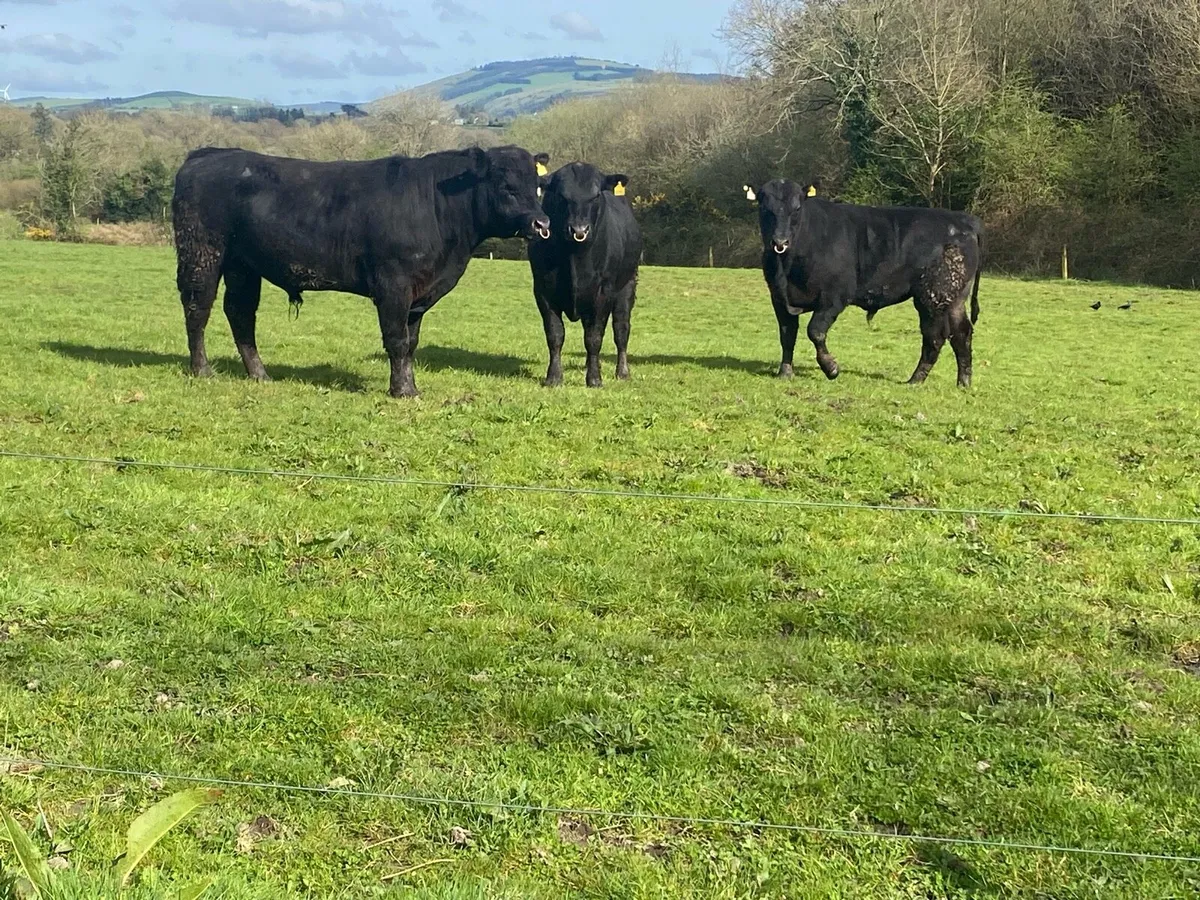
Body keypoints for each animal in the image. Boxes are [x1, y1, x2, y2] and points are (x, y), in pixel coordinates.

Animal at [172, 145, 552, 399]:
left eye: (536, 186)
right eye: (506, 186)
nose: (542, 223)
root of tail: (208, 154)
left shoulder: (419, 293)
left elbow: (411, 343)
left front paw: (410, 386)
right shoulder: (393, 285)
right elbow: (396, 340)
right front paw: (401, 391)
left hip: (243, 264)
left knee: (239, 313)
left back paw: (259, 374)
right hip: (203, 252)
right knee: (197, 309)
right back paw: (202, 370)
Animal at [528, 162, 643, 388]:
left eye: (596, 195)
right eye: (561, 195)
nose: (579, 230)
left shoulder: (604, 291)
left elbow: (594, 337)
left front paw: (594, 379)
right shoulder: (542, 289)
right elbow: (555, 334)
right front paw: (554, 377)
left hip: (627, 285)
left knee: (621, 330)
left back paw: (622, 372)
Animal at [742, 179, 983, 388]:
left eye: (797, 208)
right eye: (765, 208)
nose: (780, 242)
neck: (788, 267)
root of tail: (963, 220)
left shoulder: (834, 297)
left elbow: (815, 331)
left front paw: (831, 368)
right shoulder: (778, 298)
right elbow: (787, 335)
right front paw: (785, 372)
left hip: (932, 297)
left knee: (934, 336)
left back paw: (916, 379)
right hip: (955, 298)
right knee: (961, 333)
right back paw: (963, 382)